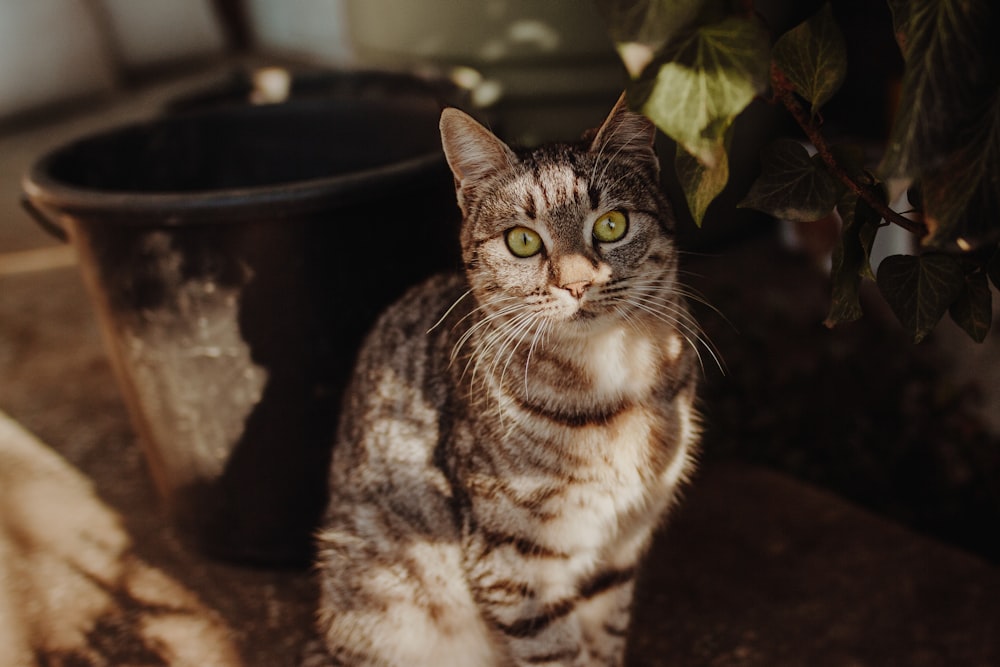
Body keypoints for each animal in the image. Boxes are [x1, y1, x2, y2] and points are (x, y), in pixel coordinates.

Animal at [314, 95, 704, 667]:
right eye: (522, 241)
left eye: (612, 225)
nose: (577, 284)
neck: (608, 382)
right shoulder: (513, 559)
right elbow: (556, 652)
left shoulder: (621, 545)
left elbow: (605, 638)